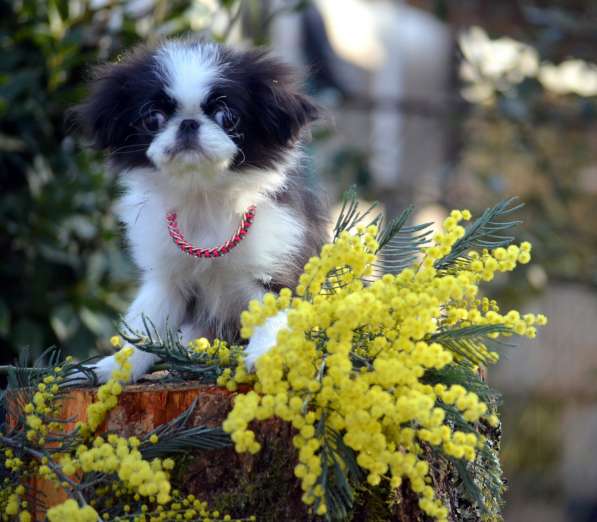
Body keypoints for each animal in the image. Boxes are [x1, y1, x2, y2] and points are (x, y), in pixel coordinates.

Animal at [73, 38, 330, 380]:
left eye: (227, 116)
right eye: (152, 118)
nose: (188, 123)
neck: (203, 197)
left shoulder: (278, 270)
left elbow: (272, 315)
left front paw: (266, 355)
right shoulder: (167, 280)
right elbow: (148, 327)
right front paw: (114, 368)